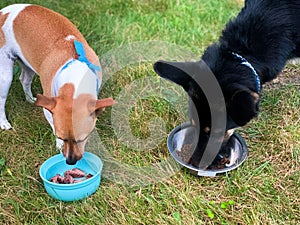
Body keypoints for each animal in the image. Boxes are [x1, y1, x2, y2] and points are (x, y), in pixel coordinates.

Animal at [0, 4, 115, 164]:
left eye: (82, 139)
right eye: (61, 137)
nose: (70, 161)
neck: (74, 78)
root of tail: (3, 12)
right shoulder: (50, 109)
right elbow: (53, 123)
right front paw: (59, 144)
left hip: (29, 63)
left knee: (24, 79)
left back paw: (31, 99)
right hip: (5, 74)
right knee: (2, 99)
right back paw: (4, 122)